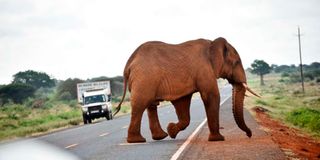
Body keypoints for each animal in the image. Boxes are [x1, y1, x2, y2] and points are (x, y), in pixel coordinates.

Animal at [114, 37, 260, 142]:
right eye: (236, 63)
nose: (249, 134)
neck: (212, 44)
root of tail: (129, 63)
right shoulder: (204, 69)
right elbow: (211, 96)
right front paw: (218, 139)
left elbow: (182, 103)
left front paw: (172, 131)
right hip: (144, 79)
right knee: (140, 105)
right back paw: (137, 141)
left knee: (151, 105)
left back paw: (160, 136)